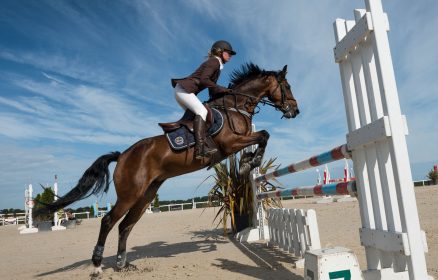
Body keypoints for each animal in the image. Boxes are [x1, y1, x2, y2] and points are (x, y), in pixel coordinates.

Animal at [36, 62, 300, 274]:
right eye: (287, 86)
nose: (295, 111)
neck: (235, 107)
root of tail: (122, 156)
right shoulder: (231, 143)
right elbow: (264, 135)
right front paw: (250, 163)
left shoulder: (237, 143)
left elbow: (263, 136)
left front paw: (247, 162)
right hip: (130, 194)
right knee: (109, 222)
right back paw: (98, 265)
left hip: (146, 195)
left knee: (125, 225)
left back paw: (123, 264)